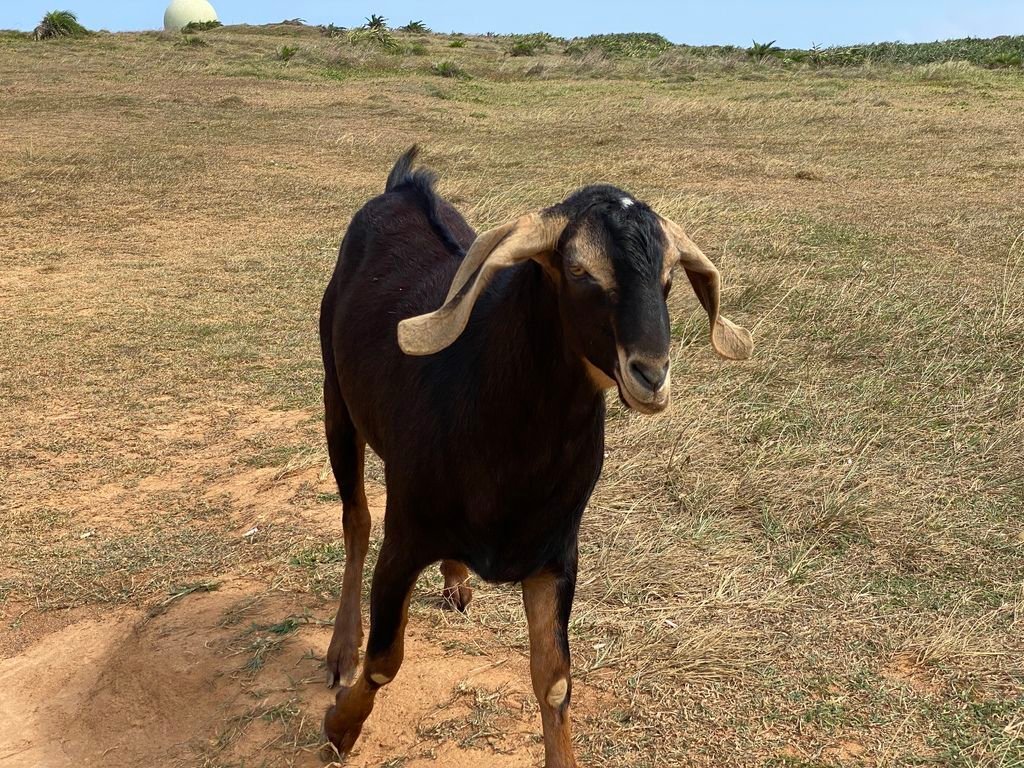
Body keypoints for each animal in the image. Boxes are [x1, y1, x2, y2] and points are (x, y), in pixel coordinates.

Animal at [315, 147, 749, 765]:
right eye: (579, 271)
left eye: (668, 279)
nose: (651, 374)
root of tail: (404, 186)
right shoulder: (405, 540)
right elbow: (383, 661)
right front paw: (340, 727)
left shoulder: (555, 554)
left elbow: (555, 681)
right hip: (337, 401)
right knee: (355, 520)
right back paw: (340, 650)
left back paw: (456, 580)